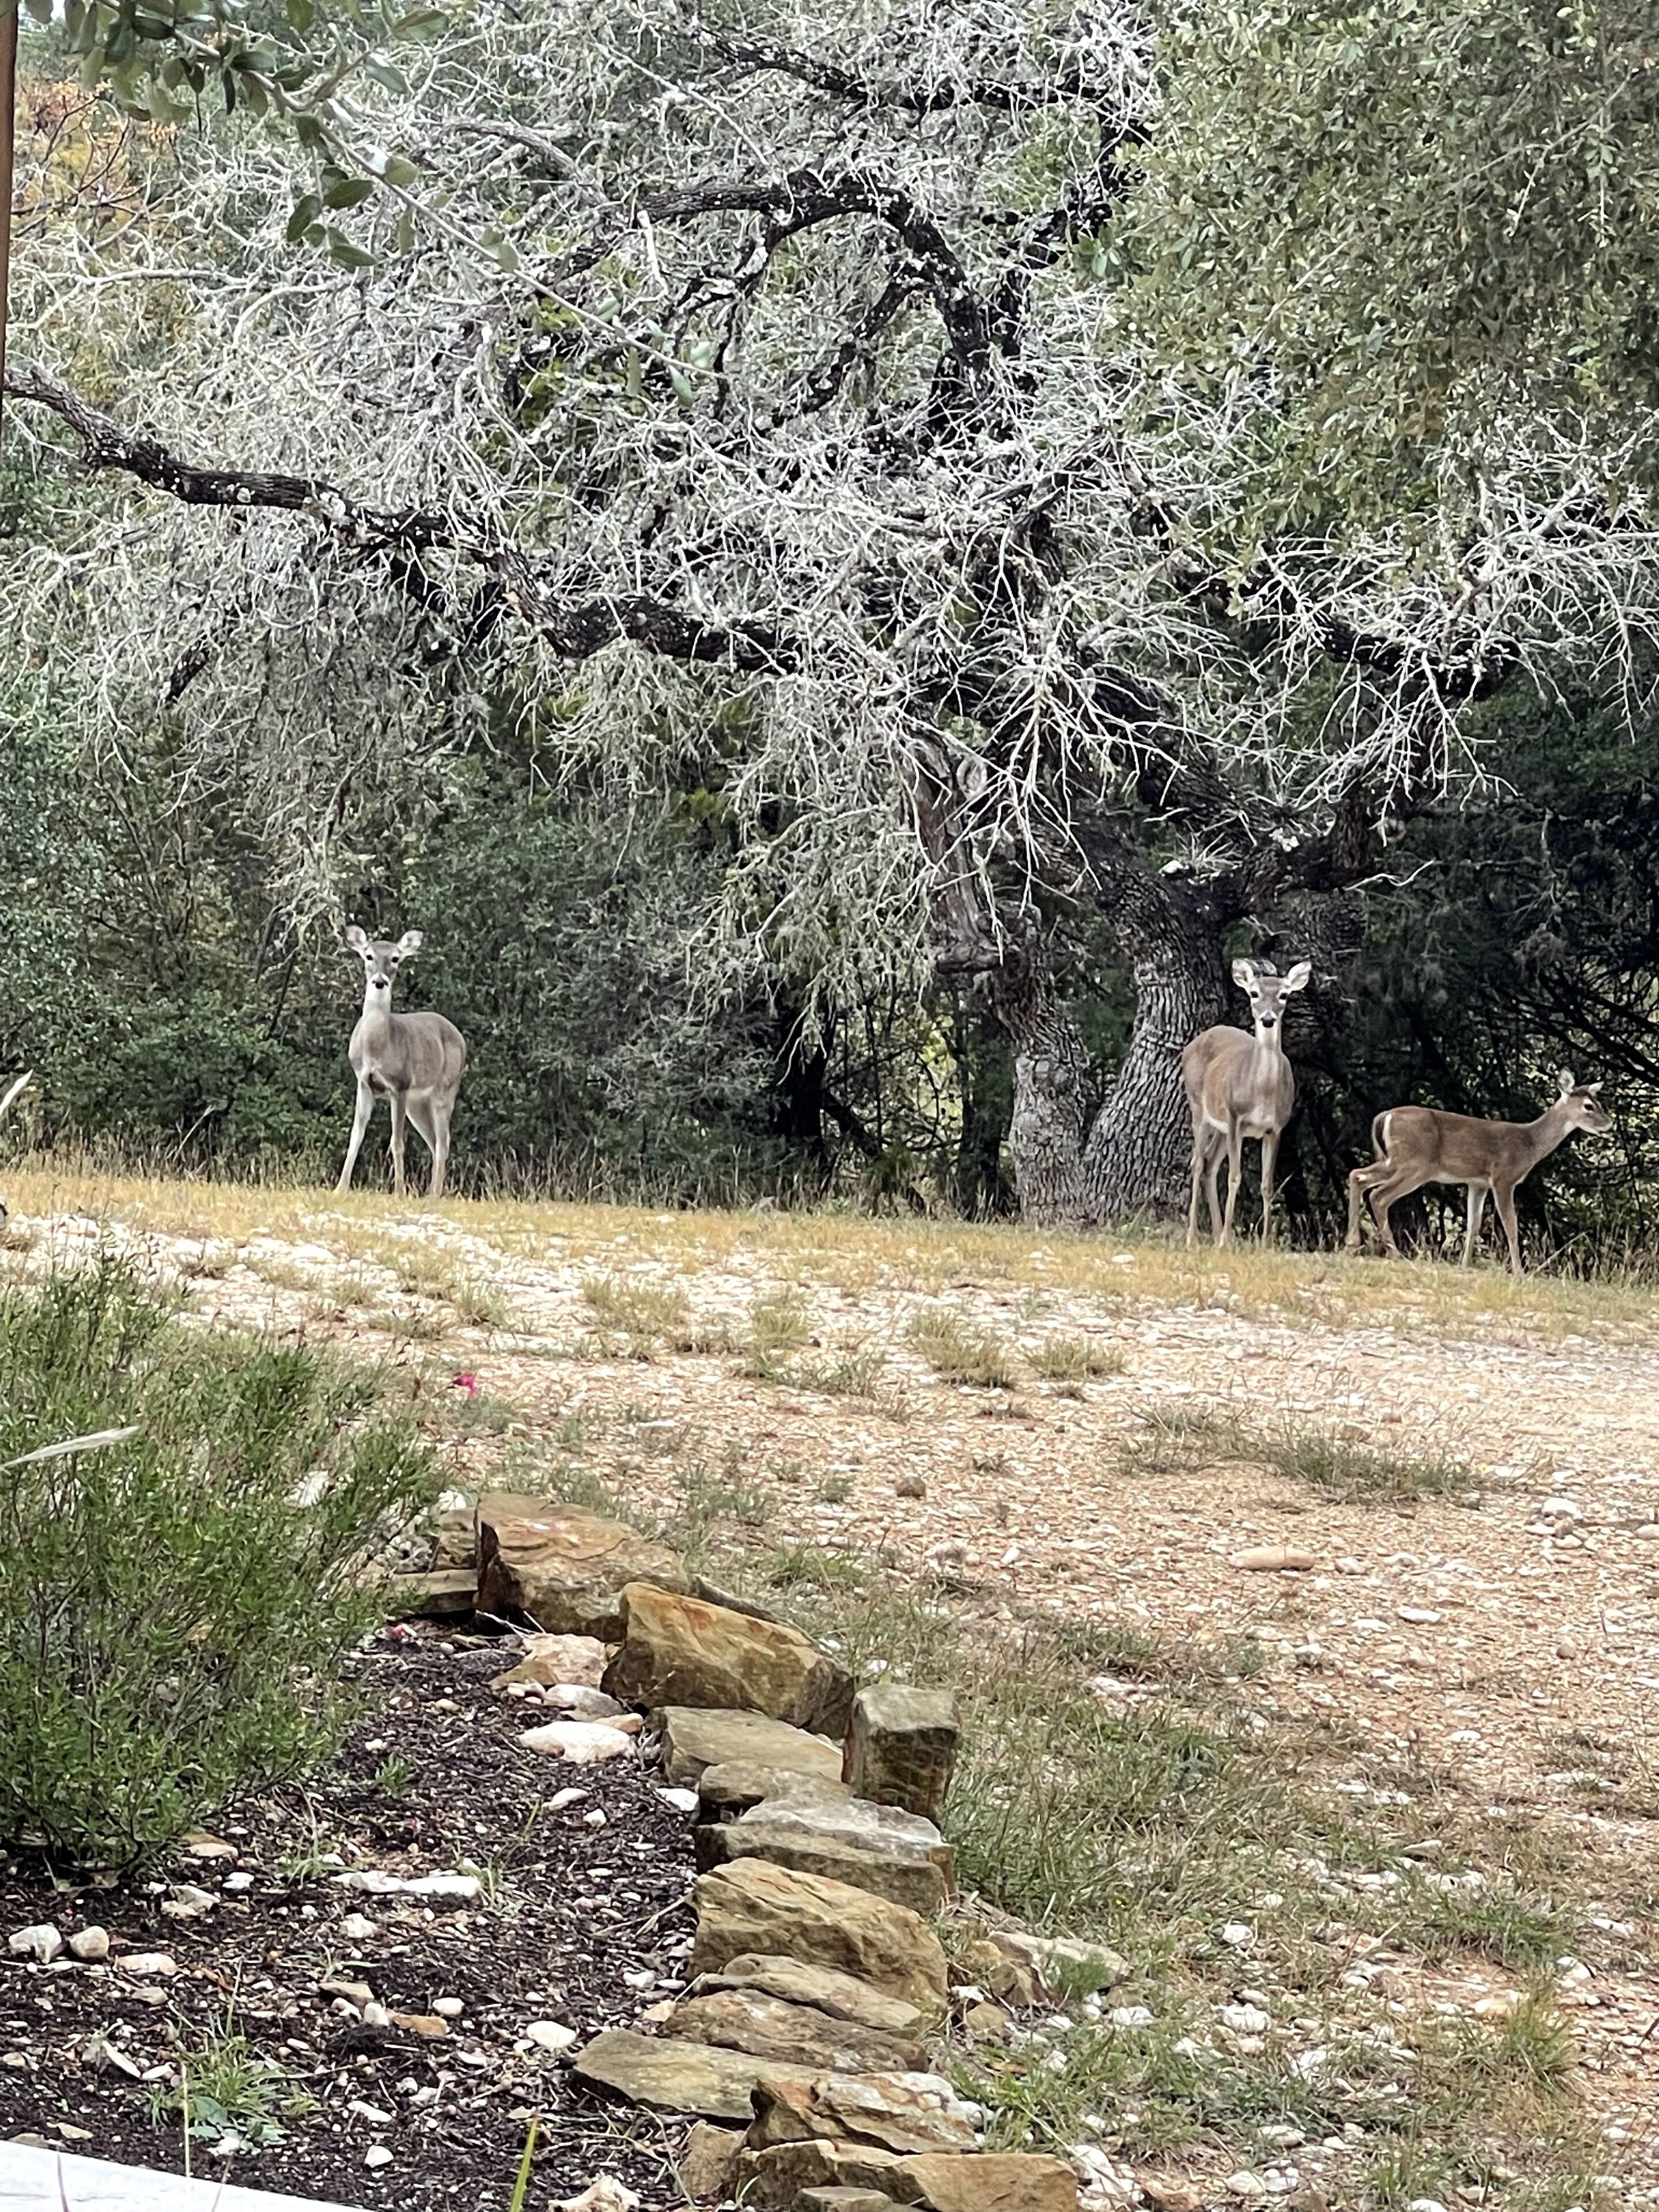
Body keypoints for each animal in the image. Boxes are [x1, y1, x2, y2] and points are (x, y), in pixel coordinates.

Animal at [337, 929, 467, 1201]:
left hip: (445, 1090)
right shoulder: (364, 1083)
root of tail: (460, 1037)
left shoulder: (400, 1085)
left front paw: (399, 1191)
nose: (380, 981)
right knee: (434, 1141)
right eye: (369, 955)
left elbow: (397, 1142)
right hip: (417, 1104)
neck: (378, 1047)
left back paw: (434, 1194)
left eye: (395, 958)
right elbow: (355, 1136)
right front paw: (339, 1188)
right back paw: (431, 1191)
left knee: (444, 1141)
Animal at [1182, 958, 1312, 1247]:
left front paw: (1266, 1243)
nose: (1268, 1019)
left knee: (1210, 1164)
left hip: (1220, 1127)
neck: (1261, 1093)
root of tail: (1191, 1045)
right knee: (1197, 1163)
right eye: (1254, 993)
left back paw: (1218, 1233)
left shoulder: (1276, 1128)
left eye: (1283, 995)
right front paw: (1225, 1241)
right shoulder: (1235, 1119)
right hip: (1199, 1108)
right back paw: (1194, 1237)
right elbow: (1235, 1177)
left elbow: (1267, 1185)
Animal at [1346, 1068, 1611, 1274]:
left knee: (1357, 1175)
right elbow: (1511, 1225)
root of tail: (1384, 1116)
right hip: (1415, 1165)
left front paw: (1464, 1265)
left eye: (1599, 1103)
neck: (1529, 1145)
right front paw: (1519, 1272)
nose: (1608, 1123)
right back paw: (1394, 1253)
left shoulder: (1478, 1183)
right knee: (1379, 1196)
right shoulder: (1504, 1178)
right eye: (1588, 1106)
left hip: (1392, 1161)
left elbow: (1474, 1224)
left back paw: (1352, 1244)